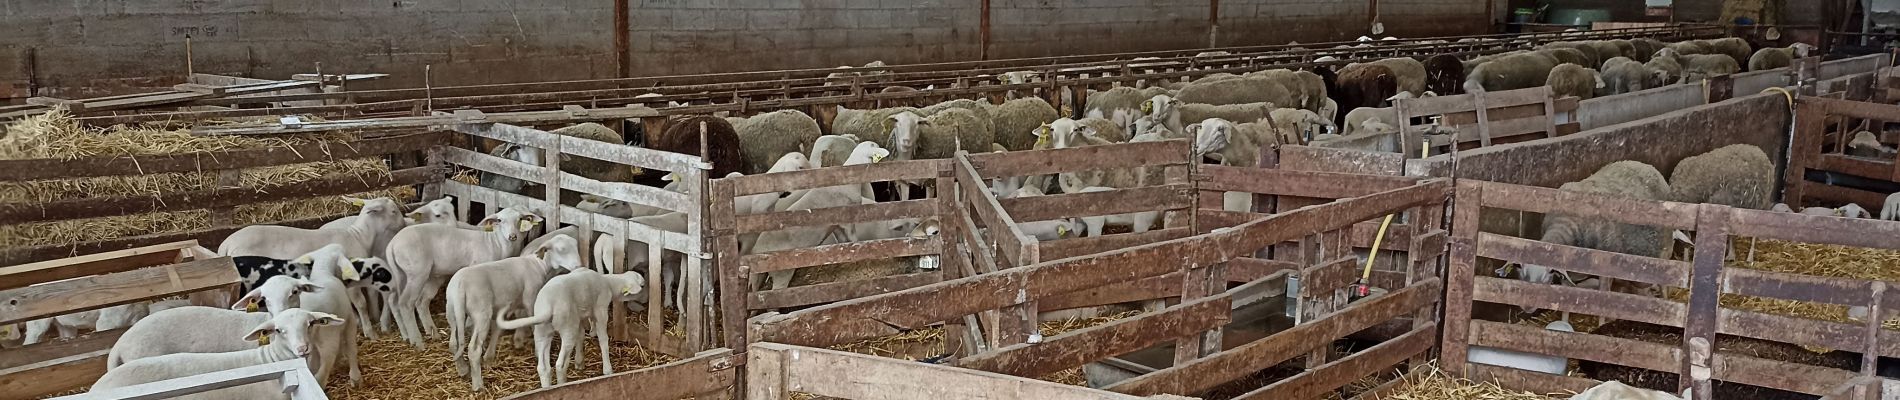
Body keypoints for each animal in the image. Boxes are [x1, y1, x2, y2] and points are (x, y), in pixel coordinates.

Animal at [381, 206, 539, 346]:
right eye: (499, 220)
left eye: (520, 219)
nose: (512, 236)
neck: (496, 243)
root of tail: (392, 245)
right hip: (416, 272)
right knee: (405, 302)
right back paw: (417, 340)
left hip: (417, 275)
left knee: (410, 301)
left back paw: (423, 333)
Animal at [442, 234, 577, 390]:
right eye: (561, 249)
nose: (577, 266)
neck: (538, 264)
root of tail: (460, 286)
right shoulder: (530, 297)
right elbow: (532, 322)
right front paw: (536, 350)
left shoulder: (505, 305)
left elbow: (498, 328)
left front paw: (491, 356)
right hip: (481, 313)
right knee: (474, 349)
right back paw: (478, 385)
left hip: (452, 311)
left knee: (453, 343)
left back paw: (463, 370)